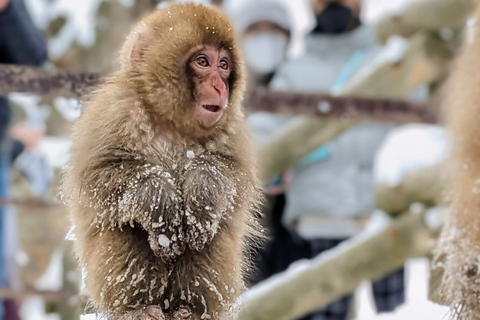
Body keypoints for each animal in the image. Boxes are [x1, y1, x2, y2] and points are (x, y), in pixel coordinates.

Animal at [62, 3, 262, 320]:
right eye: (203, 61)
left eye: (224, 65)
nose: (220, 87)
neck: (171, 122)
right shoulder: (113, 111)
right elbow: (98, 174)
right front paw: (159, 197)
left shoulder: (232, 128)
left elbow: (233, 175)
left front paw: (202, 186)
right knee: (125, 229)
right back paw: (138, 308)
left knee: (211, 238)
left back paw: (190, 309)